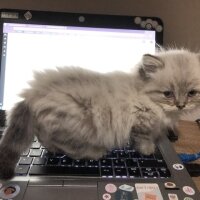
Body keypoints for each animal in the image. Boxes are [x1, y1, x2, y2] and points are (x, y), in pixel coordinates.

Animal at [0, 48, 200, 180]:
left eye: (192, 93)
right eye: (168, 94)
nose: (181, 105)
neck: (142, 93)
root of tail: (33, 93)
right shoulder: (140, 123)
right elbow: (143, 140)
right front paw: (148, 150)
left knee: (46, 139)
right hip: (76, 122)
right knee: (64, 145)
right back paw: (94, 152)